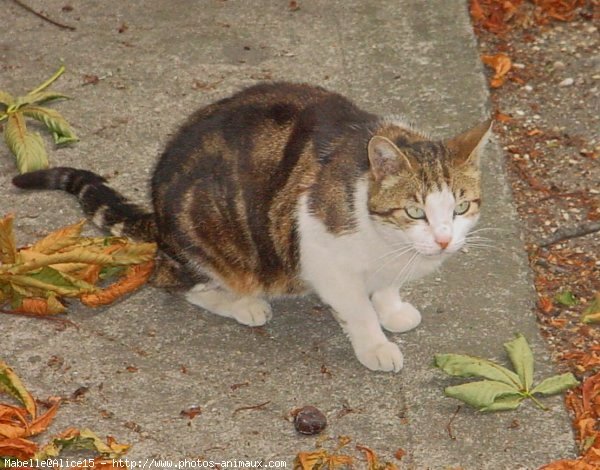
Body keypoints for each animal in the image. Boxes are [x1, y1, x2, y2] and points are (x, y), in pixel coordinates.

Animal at [12, 82, 492, 372]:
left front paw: (391, 308)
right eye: (415, 212)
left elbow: (386, 287)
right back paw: (244, 304)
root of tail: (159, 215)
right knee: (174, 280)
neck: (387, 243)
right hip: (212, 238)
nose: (444, 240)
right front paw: (374, 343)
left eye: (461, 207)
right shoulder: (322, 255)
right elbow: (356, 308)